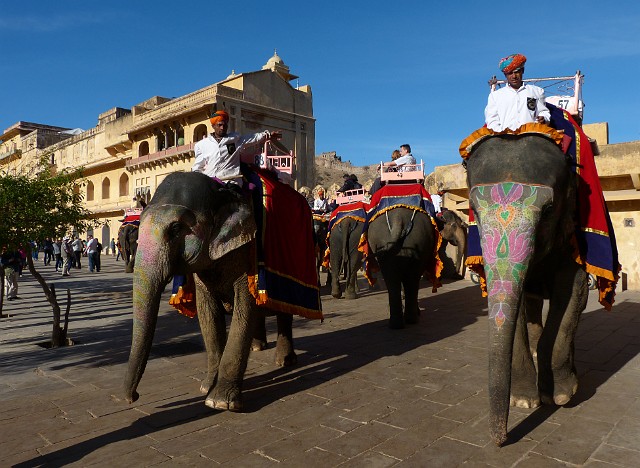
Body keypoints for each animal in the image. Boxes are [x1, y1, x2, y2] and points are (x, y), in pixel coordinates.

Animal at [125, 171, 300, 410]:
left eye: (176, 229)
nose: (133, 397)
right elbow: (208, 315)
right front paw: (206, 387)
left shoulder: (247, 251)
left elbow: (244, 309)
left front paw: (220, 402)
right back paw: (257, 347)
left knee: (284, 312)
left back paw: (285, 361)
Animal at [364, 200, 440, 330]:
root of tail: (398, 219)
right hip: (418, 241)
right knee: (411, 279)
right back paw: (410, 319)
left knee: (392, 278)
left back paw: (397, 323)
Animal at [464, 132, 592, 446]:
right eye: (474, 212)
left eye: (548, 211)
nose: (501, 440)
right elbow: (518, 303)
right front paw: (523, 401)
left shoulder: (573, 232)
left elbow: (574, 290)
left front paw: (560, 395)